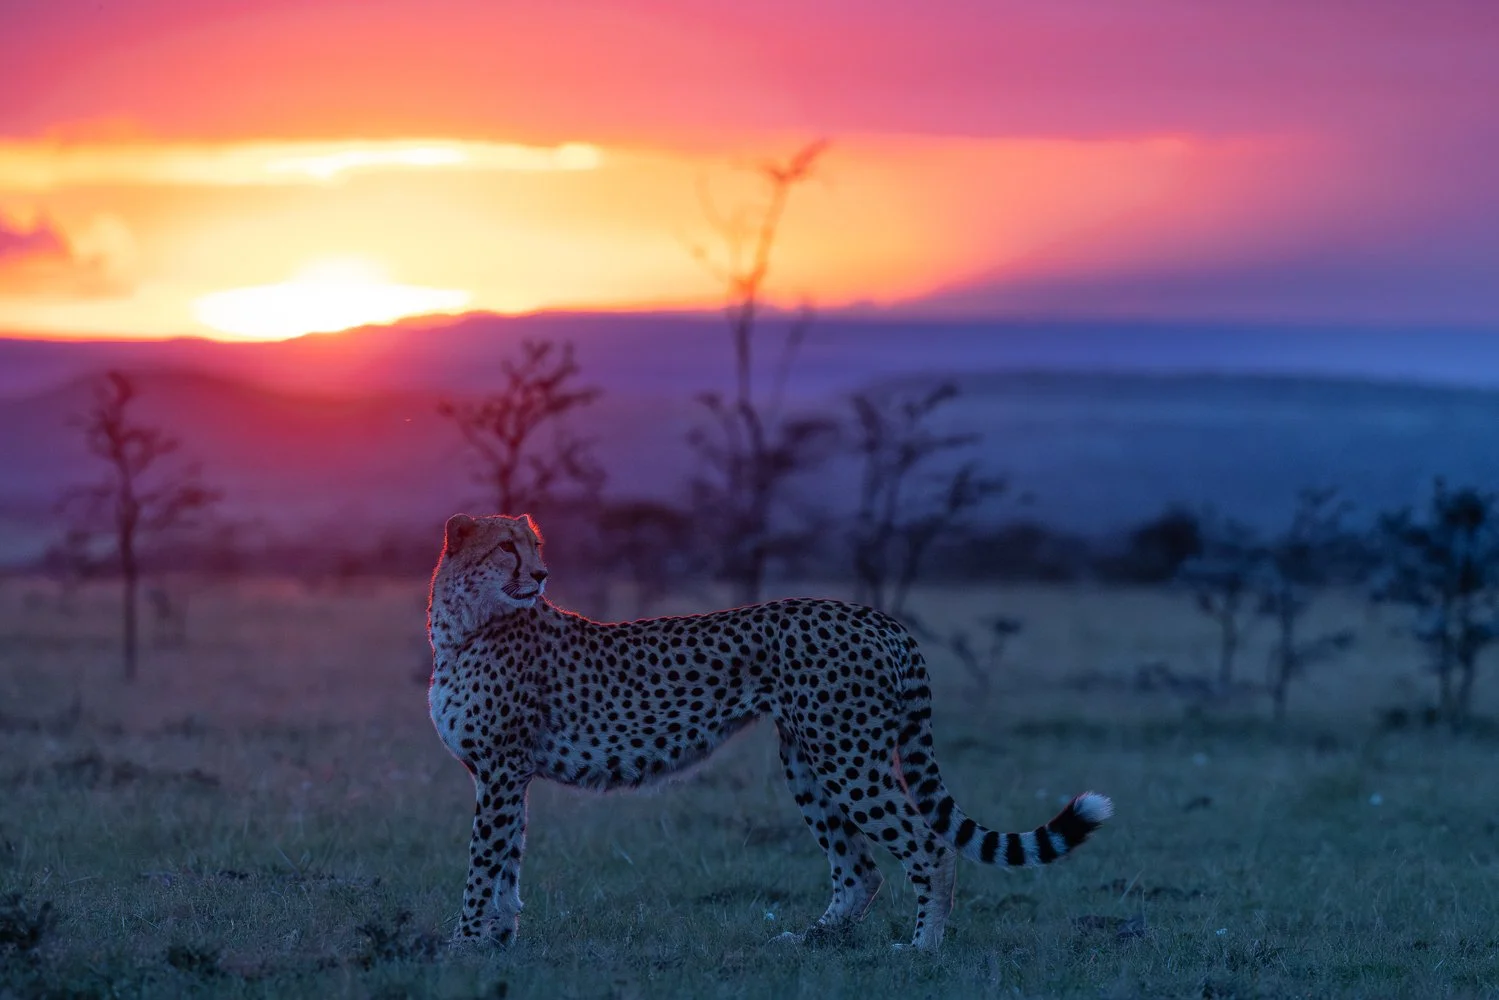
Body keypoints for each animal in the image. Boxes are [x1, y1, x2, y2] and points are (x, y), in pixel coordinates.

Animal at [427, 512, 1113, 951]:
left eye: (532, 546)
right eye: (507, 548)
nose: (542, 575)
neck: (463, 624)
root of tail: (875, 615)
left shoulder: (500, 771)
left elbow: (482, 863)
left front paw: (462, 942)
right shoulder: (506, 775)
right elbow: (507, 864)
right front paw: (499, 939)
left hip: (847, 755)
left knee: (928, 846)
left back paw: (923, 948)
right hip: (809, 758)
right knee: (859, 869)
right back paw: (810, 940)